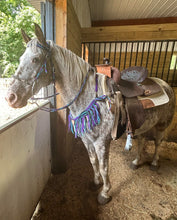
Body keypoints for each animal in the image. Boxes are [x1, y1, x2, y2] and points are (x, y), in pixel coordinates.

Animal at [5, 23, 176, 205]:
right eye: (21, 59)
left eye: (35, 59)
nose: (10, 97)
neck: (90, 98)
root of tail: (163, 84)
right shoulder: (87, 140)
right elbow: (93, 161)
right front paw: (96, 182)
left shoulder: (101, 142)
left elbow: (104, 166)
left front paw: (105, 193)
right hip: (143, 124)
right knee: (143, 140)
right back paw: (136, 162)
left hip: (162, 125)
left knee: (158, 143)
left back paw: (154, 163)